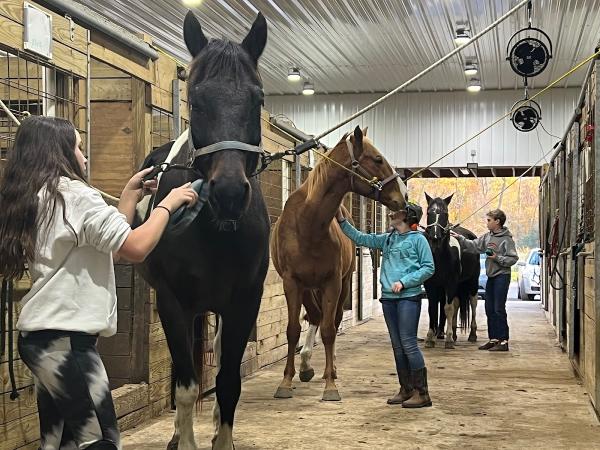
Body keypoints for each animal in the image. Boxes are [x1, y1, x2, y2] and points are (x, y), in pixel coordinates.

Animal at [137, 10, 268, 450]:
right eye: (195, 100)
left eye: (257, 99)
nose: (228, 193)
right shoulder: (173, 303)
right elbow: (186, 386)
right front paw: (186, 439)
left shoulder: (244, 302)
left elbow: (227, 382)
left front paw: (220, 438)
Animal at [272, 128, 408, 402]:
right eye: (377, 159)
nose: (404, 197)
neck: (309, 224)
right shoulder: (291, 283)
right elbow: (293, 330)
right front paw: (285, 381)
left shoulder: (332, 282)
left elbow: (329, 330)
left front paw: (330, 386)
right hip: (307, 288)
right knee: (314, 316)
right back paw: (306, 366)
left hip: (340, 285)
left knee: (329, 321)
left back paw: (328, 369)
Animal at [424, 192, 480, 348]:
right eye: (429, 212)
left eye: (445, 213)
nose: (435, 237)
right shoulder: (431, 285)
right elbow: (432, 309)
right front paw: (430, 338)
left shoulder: (450, 283)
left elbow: (447, 309)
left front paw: (448, 339)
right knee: (456, 304)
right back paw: (454, 333)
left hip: (472, 282)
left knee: (473, 303)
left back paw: (472, 334)